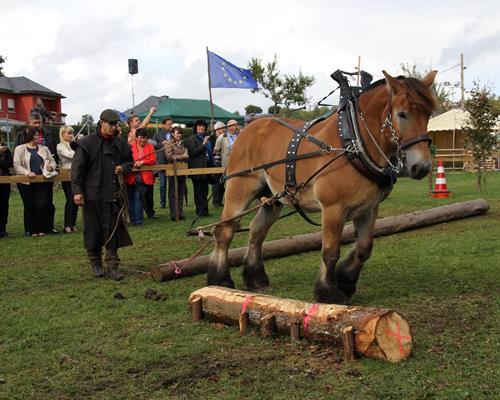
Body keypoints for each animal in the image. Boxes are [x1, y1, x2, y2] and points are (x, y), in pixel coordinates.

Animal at [209, 70, 436, 304]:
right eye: (402, 114)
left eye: (428, 114)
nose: (422, 167)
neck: (354, 143)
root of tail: (248, 128)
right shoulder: (333, 208)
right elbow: (330, 251)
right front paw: (329, 291)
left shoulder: (369, 208)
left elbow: (364, 248)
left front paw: (346, 281)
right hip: (240, 189)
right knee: (224, 231)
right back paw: (221, 279)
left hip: (272, 198)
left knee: (256, 231)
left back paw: (256, 279)